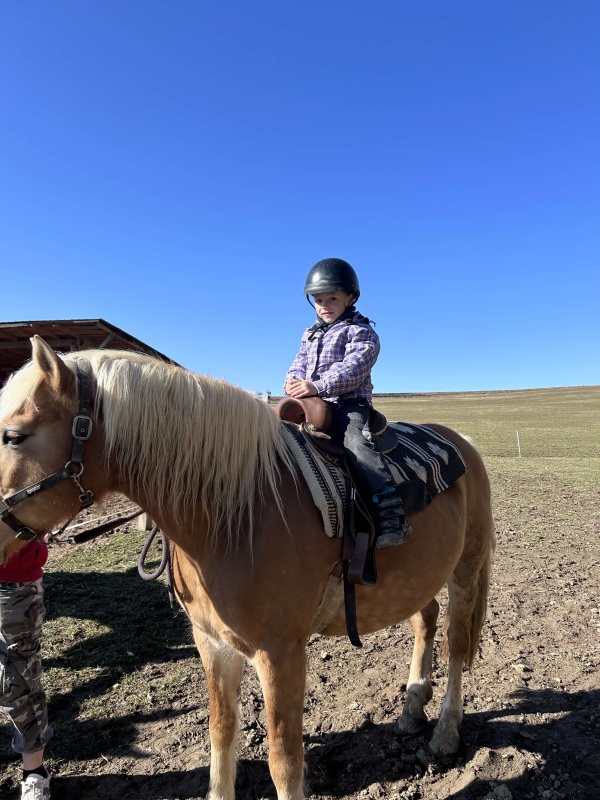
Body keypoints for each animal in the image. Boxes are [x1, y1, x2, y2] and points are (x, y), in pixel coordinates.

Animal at [0, 336, 495, 800]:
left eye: (14, 436)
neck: (234, 515)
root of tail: (463, 444)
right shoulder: (212, 643)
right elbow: (222, 734)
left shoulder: (281, 653)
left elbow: (283, 758)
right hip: (419, 578)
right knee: (425, 617)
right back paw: (412, 708)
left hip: (465, 571)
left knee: (455, 640)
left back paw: (445, 731)